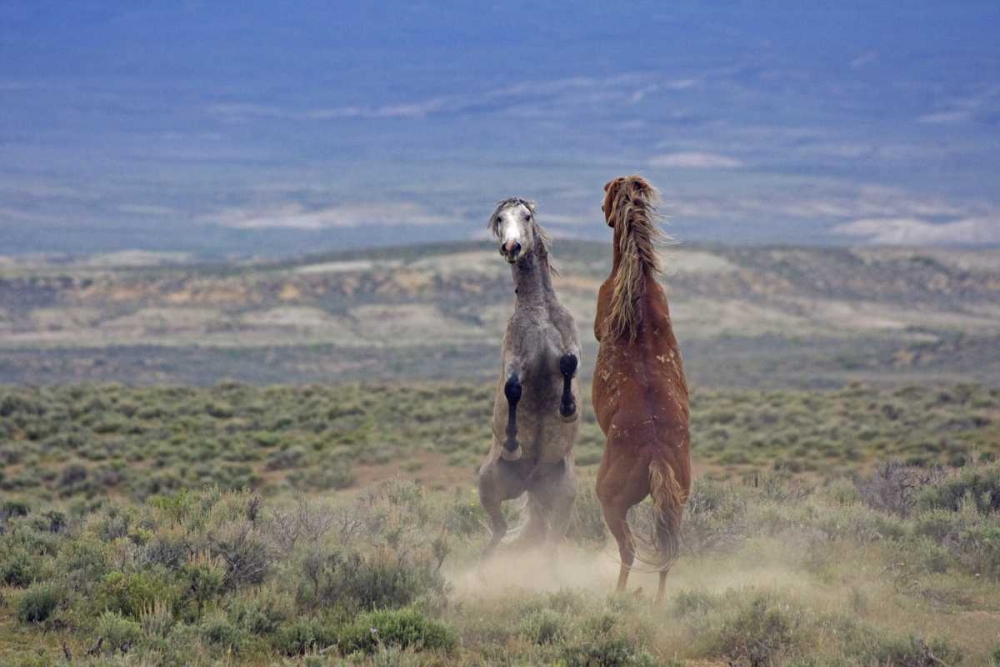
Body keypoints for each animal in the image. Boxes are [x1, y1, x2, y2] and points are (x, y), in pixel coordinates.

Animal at [477, 197, 581, 561]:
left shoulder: (571, 346)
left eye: (526, 216)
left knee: (551, 540)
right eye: (499, 219)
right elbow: (512, 389)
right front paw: (511, 442)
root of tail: (531, 482)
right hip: (488, 487)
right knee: (498, 532)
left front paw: (567, 408)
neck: (539, 313)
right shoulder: (514, 359)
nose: (511, 247)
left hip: (564, 497)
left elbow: (568, 363)